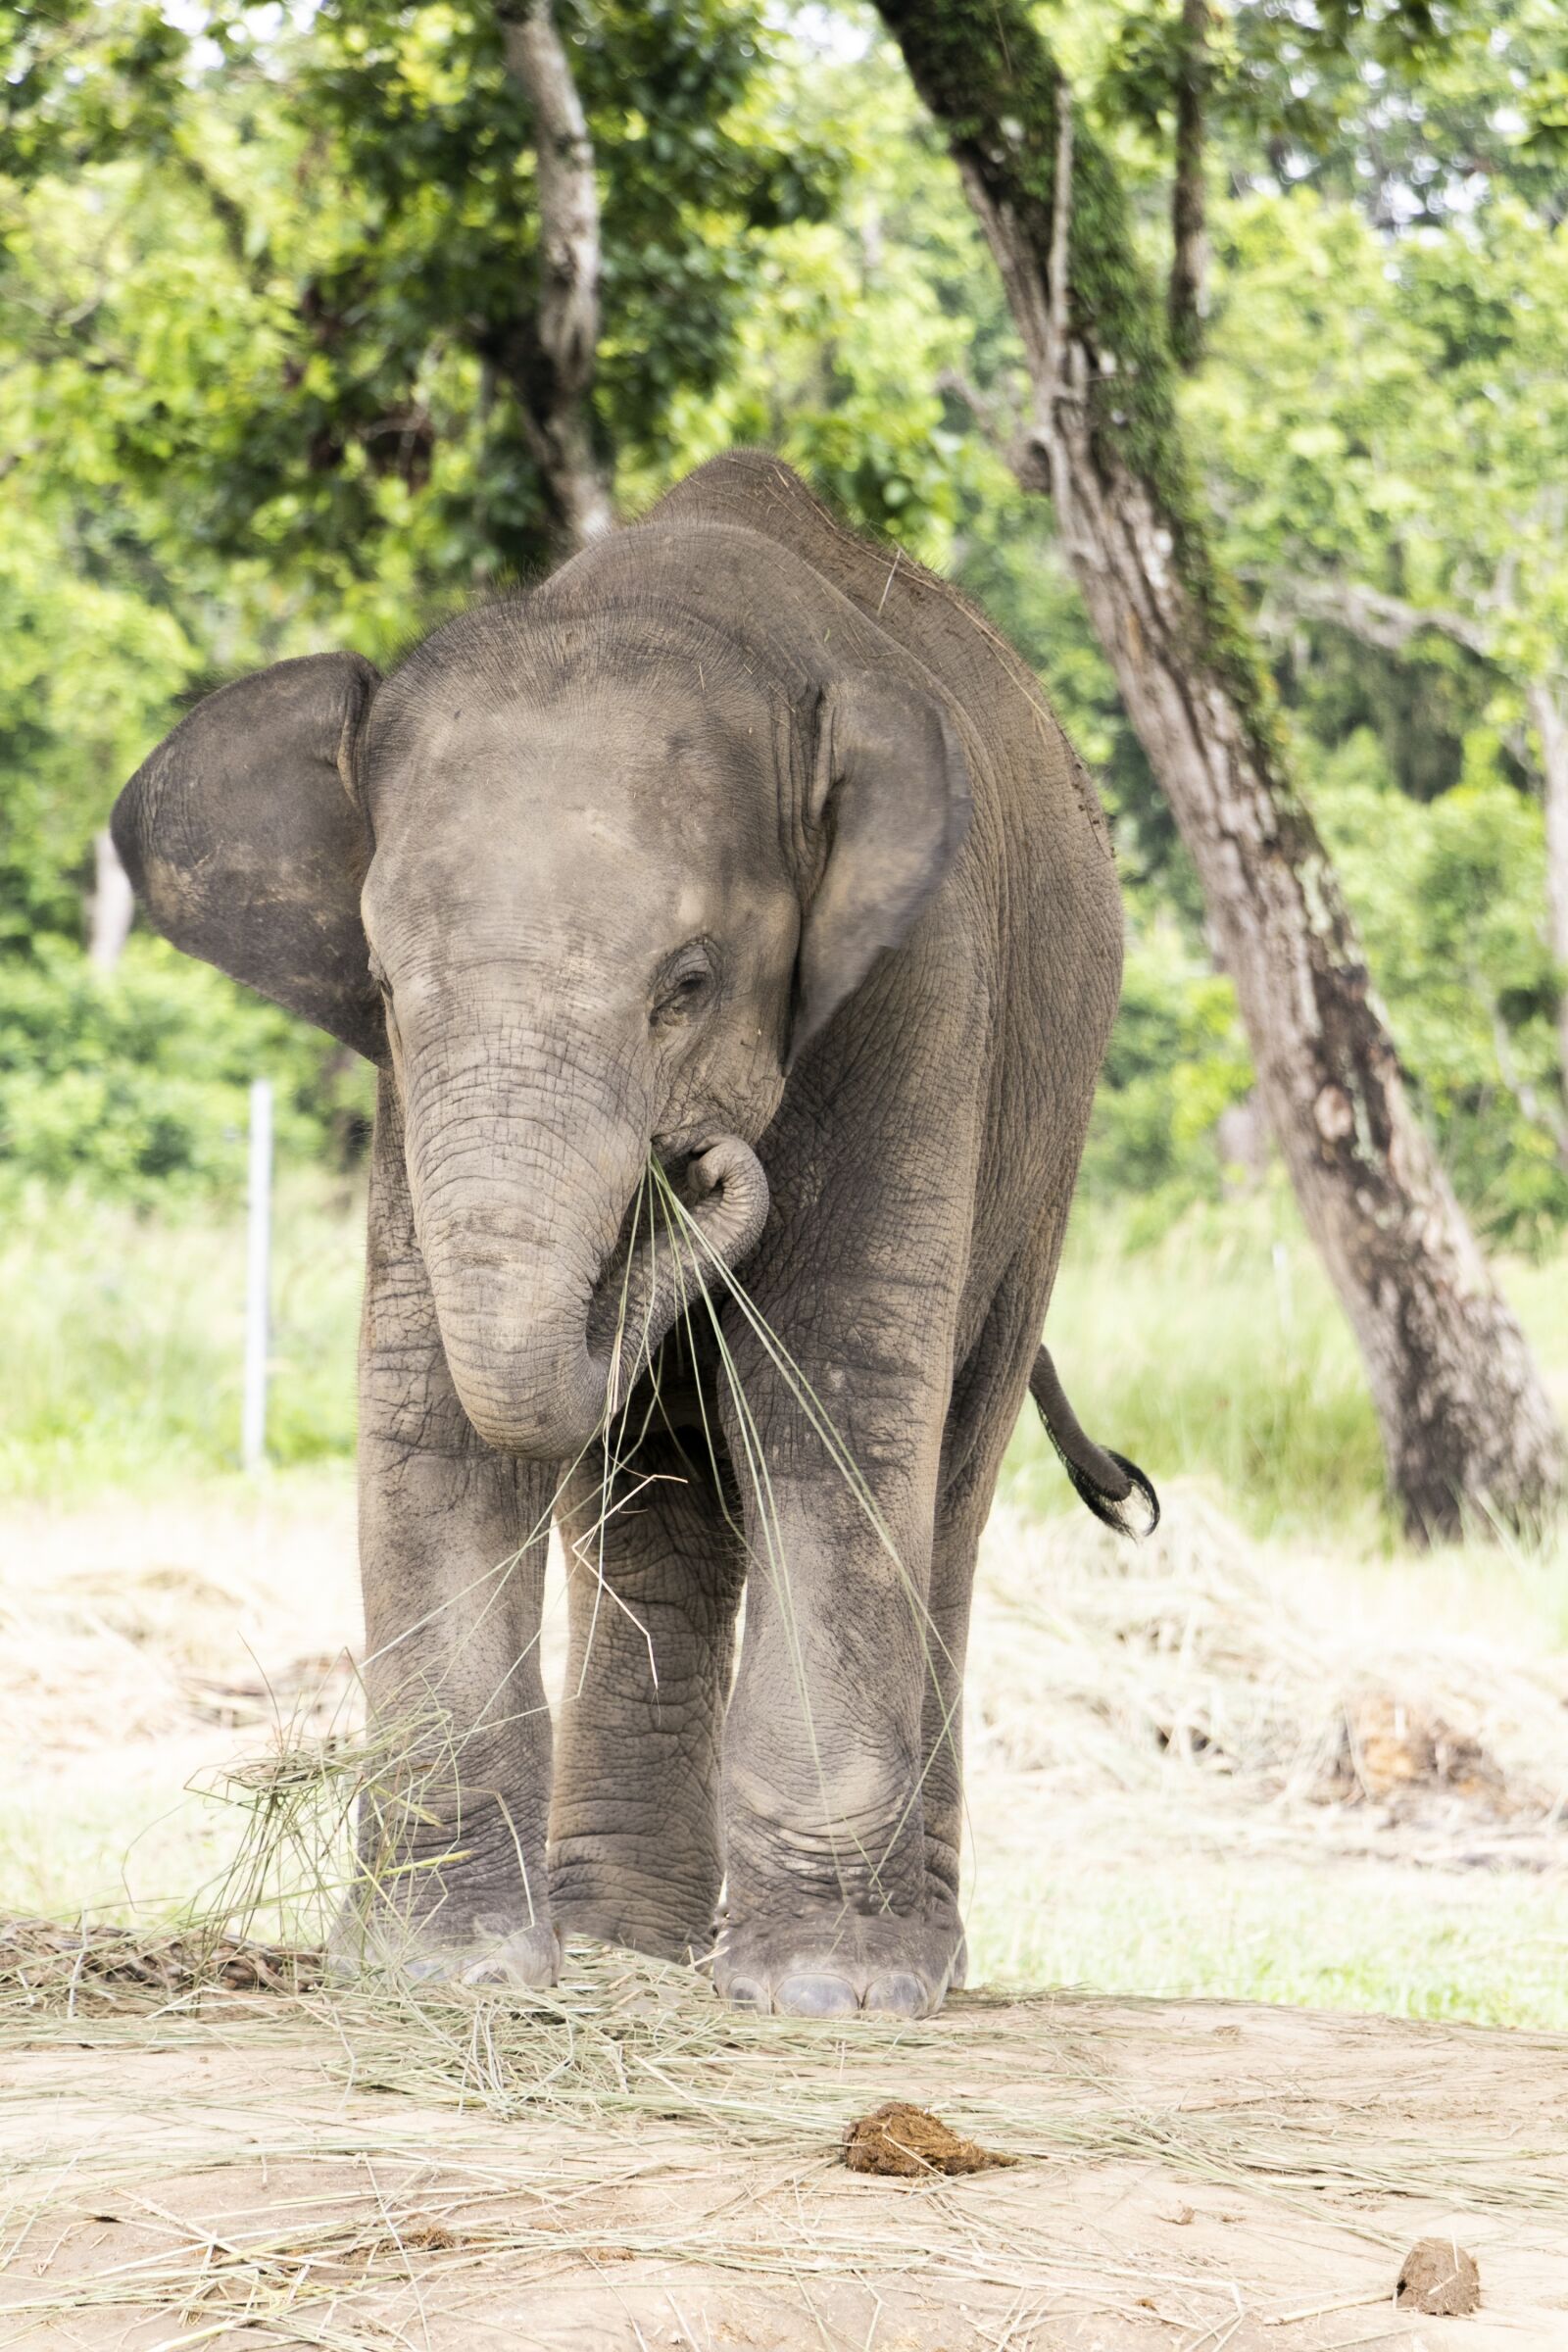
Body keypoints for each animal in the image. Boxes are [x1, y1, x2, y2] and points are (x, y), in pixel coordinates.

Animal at [112, 451, 1155, 2020]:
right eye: (382, 983)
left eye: (687, 986)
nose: (703, 1163)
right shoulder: (413, 1099)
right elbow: (431, 1405)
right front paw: (445, 1972)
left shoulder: (921, 988)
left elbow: (831, 1393)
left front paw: (827, 1996)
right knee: (655, 1488)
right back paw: (623, 1944)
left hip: (1049, 1133)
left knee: (946, 1470)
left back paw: (912, 1958)